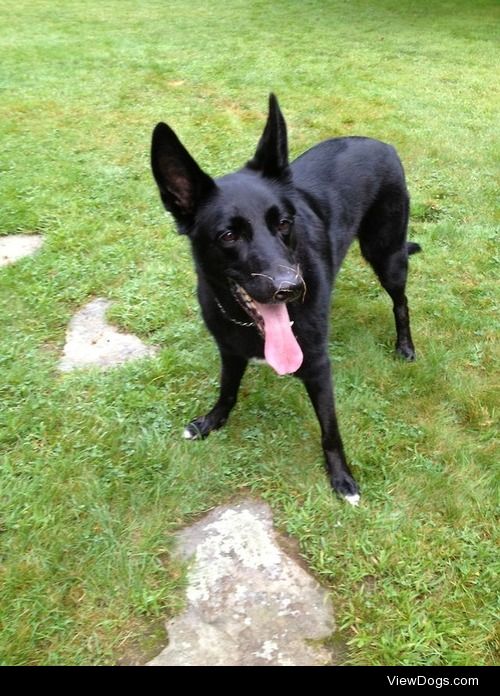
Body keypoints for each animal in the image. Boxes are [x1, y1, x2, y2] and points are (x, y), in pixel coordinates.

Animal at [150, 94, 420, 506]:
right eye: (228, 236)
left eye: (284, 224)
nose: (290, 288)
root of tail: (381, 144)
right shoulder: (229, 349)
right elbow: (227, 389)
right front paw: (212, 421)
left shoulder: (317, 365)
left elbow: (330, 428)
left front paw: (342, 477)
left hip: (387, 255)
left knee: (400, 303)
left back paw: (404, 346)